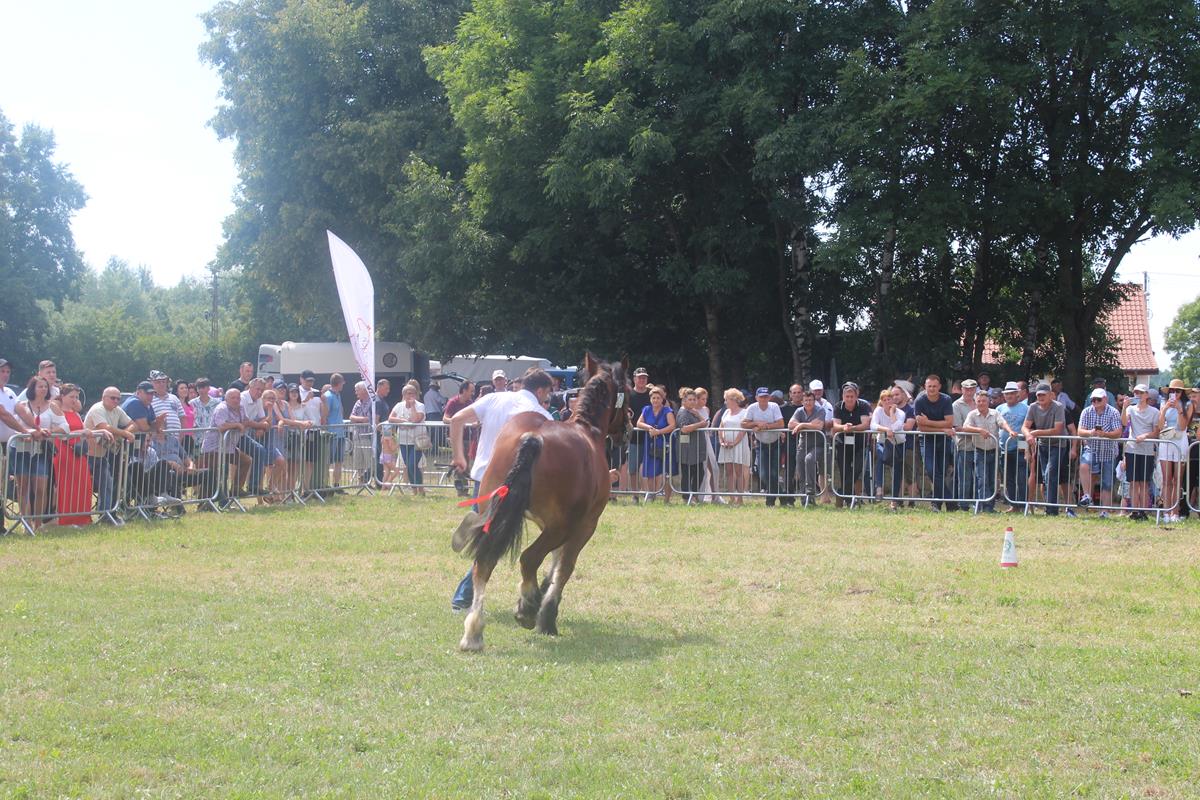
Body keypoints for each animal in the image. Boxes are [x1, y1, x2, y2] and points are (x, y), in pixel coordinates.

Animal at [455, 353, 630, 652]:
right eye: (629, 391)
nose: (628, 432)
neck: (587, 432)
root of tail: (532, 438)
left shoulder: (545, 523)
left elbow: (554, 560)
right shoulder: (583, 526)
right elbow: (564, 567)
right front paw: (546, 615)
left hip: (498, 516)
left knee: (483, 564)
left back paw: (474, 631)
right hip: (562, 527)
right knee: (528, 558)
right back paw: (528, 607)